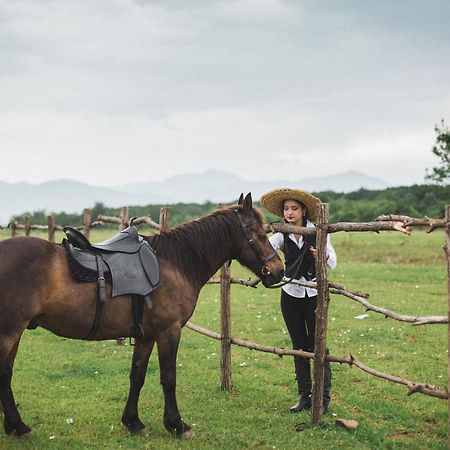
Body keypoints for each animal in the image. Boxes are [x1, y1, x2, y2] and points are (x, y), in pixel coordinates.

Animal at [0, 192, 284, 438]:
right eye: (260, 234)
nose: (279, 270)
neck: (174, 263)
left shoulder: (146, 335)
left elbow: (137, 376)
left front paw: (133, 422)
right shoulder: (169, 331)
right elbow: (168, 378)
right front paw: (177, 425)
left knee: (6, 374)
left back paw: (17, 427)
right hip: (10, 332)